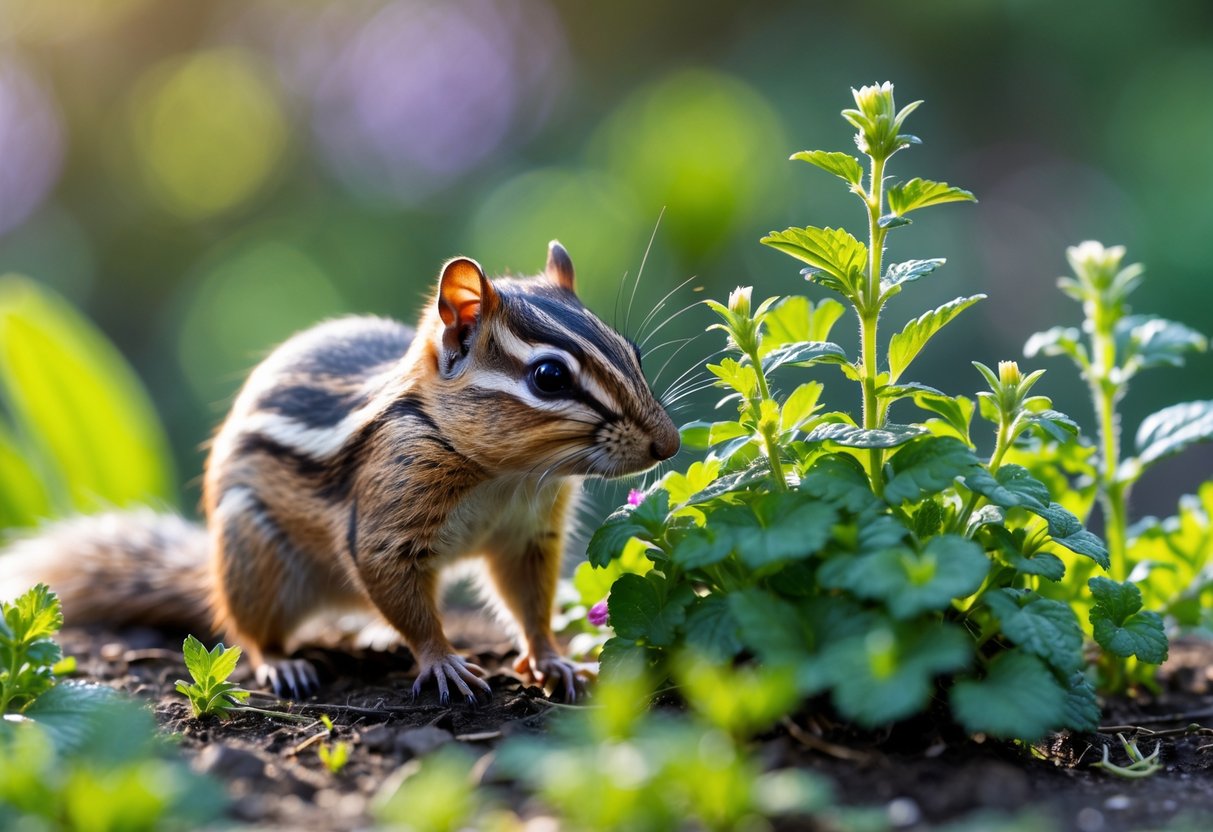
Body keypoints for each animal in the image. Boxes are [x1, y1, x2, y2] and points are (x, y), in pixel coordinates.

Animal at [0, 242, 680, 703]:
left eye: (633, 353)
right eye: (549, 377)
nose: (669, 444)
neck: (505, 474)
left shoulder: (526, 536)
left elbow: (531, 603)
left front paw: (551, 659)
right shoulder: (387, 518)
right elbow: (398, 588)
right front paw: (442, 660)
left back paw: (369, 635)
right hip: (253, 556)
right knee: (247, 630)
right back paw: (283, 663)